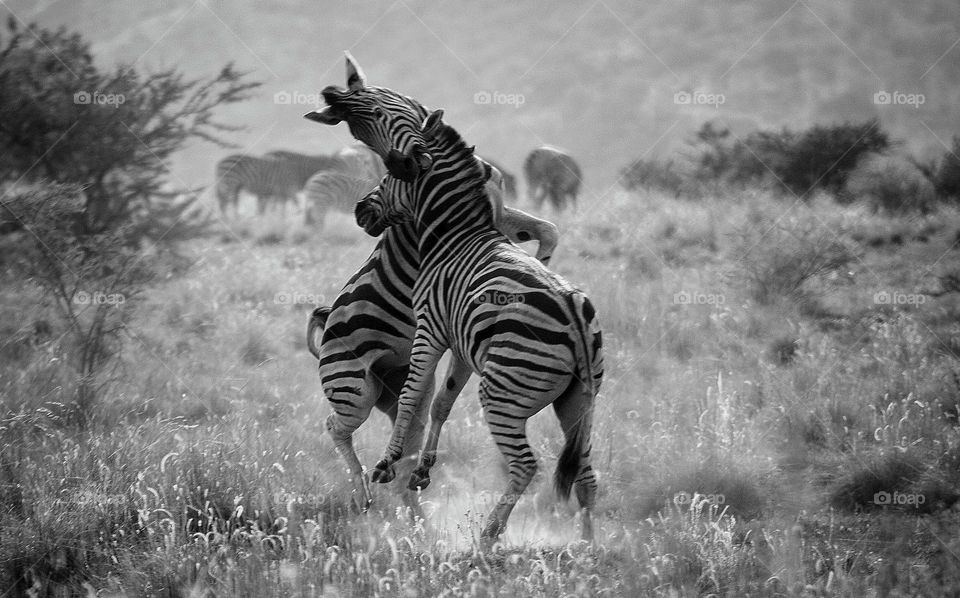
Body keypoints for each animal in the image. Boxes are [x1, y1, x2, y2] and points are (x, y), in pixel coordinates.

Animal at [354, 110, 603, 542]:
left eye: (387, 178)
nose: (358, 211)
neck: (455, 235)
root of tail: (573, 312)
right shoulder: (462, 345)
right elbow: (442, 401)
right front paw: (423, 469)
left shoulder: (430, 329)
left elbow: (411, 394)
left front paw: (388, 462)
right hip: (579, 404)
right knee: (586, 477)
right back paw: (588, 546)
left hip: (502, 396)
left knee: (526, 466)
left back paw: (489, 533)